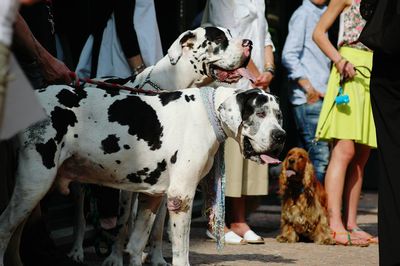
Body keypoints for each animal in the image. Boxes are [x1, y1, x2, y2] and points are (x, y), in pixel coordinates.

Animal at [0, 85, 286, 266]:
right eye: (260, 113)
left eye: (279, 116)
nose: (281, 136)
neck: (208, 113)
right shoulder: (180, 199)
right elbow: (181, 254)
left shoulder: (153, 198)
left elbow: (137, 245)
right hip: (34, 183)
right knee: (4, 228)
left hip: (35, 190)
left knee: (15, 234)